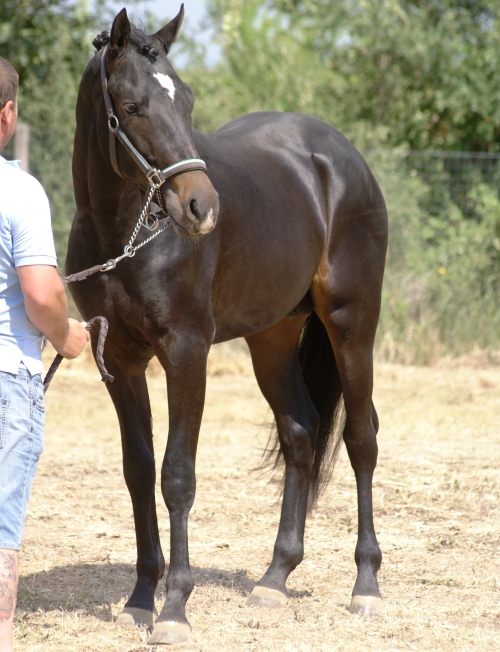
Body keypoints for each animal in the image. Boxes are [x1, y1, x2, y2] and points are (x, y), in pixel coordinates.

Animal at [65, 3, 386, 648]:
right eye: (132, 106)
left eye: (186, 101)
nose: (201, 208)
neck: (124, 236)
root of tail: (342, 158)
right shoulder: (119, 362)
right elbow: (139, 471)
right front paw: (141, 599)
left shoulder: (187, 352)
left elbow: (177, 476)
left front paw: (174, 609)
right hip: (273, 339)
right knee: (301, 432)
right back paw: (274, 579)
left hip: (352, 325)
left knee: (360, 439)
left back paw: (365, 585)